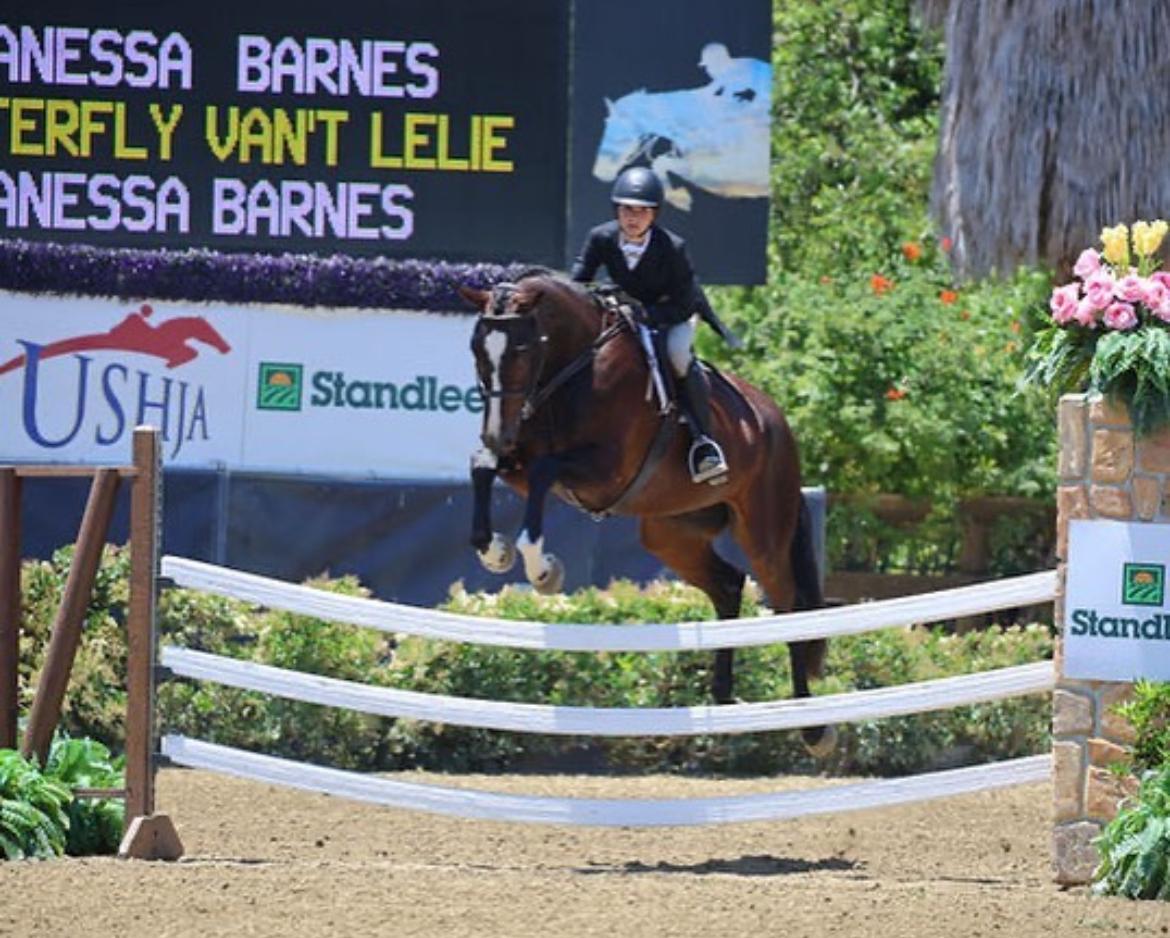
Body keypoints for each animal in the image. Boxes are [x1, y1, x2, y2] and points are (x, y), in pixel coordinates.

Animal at [459, 272, 835, 757]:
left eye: (523, 348)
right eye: (476, 347)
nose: (496, 434)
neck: (572, 369)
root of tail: (775, 420)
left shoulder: (601, 472)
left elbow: (543, 474)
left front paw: (542, 569)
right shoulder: (520, 463)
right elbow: (482, 467)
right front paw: (496, 552)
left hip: (764, 531)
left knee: (789, 606)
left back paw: (812, 726)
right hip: (670, 535)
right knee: (729, 585)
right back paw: (724, 696)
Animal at [592, 82, 770, 213]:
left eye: (623, 132)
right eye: (606, 122)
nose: (599, 172)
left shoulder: (718, 172)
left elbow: (662, 163)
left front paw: (681, 198)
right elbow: (662, 163)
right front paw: (679, 197)